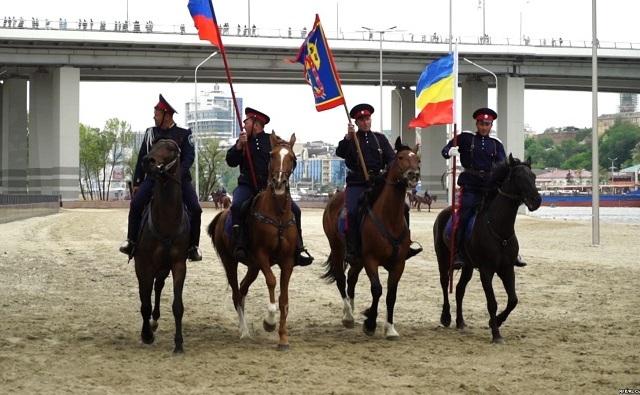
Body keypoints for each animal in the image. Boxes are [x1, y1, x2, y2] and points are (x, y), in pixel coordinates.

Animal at [132, 140, 188, 356]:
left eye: (171, 148)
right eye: (153, 144)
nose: (148, 161)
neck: (166, 220)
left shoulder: (179, 264)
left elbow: (177, 306)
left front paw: (179, 343)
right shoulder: (143, 265)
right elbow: (144, 302)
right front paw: (146, 335)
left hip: (164, 267)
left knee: (158, 286)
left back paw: (155, 321)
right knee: (148, 293)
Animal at [210, 132, 300, 350]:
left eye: (292, 158)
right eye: (272, 155)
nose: (278, 182)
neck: (277, 213)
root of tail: (222, 215)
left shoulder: (287, 261)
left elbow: (284, 298)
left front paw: (283, 337)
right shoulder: (262, 255)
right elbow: (272, 281)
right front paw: (269, 322)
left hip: (253, 266)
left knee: (242, 291)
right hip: (230, 261)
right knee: (236, 293)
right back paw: (244, 331)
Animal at [322, 139, 422, 340]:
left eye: (417, 159)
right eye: (400, 157)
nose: (413, 175)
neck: (389, 218)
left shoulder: (399, 263)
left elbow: (391, 294)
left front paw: (390, 328)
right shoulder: (371, 259)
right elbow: (377, 289)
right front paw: (370, 322)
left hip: (358, 259)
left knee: (351, 278)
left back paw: (351, 310)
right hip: (337, 249)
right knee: (341, 279)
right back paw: (348, 315)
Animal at [432, 155, 544, 344]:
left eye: (534, 176)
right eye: (518, 177)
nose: (536, 200)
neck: (499, 229)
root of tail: (444, 212)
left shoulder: (507, 268)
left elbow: (513, 300)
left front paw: (496, 321)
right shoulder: (486, 271)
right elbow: (492, 302)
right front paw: (496, 334)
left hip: (468, 266)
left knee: (460, 289)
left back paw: (460, 322)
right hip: (443, 257)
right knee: (445, 282)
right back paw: (446, 317)